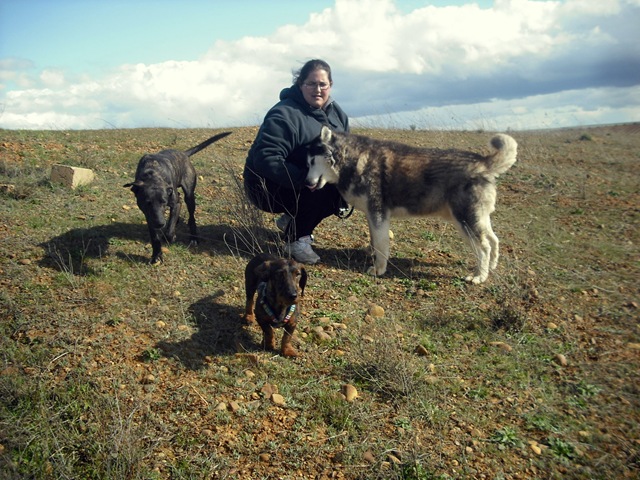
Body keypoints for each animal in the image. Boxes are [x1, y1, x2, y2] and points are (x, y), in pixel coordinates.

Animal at [124, 131, 231, 263]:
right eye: (147, 203)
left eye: (163, 202)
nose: (160, 223)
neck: (152, 173)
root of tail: (183, 153)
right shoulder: (149, 214)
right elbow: (155, 236)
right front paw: (156, 255)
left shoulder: (174, 204)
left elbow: (169, 230)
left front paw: (170, 236)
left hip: (189, 196)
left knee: (190, 215)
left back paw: (193, 237)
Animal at [305, 126, 518, 284]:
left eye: (312, 161)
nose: (306, 183)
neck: (355, 160)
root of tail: (482, 162)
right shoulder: (372, 215)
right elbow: (374, 240)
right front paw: (371, 254)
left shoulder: (378, 214)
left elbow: (382, 245)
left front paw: (379, 269)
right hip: (477, 218)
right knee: (494, 239)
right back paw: (491, 266)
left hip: (465, 220)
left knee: (484, 247)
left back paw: (479, 276)